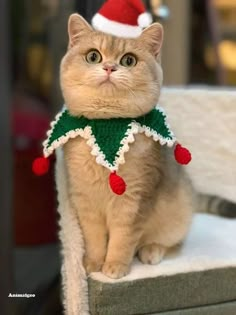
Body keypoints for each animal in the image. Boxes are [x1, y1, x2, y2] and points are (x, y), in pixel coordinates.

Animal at [60, 13, 195, 280]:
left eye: (128, 60)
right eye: (93, 56)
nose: (110, 67)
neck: (107, 127)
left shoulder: (134, 201)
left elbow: (122, 239)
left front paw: (115, 266)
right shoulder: (85, 201)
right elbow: (94, 238)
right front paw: (93, 263)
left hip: (179, 213)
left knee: (173, 243)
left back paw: (151, 250)